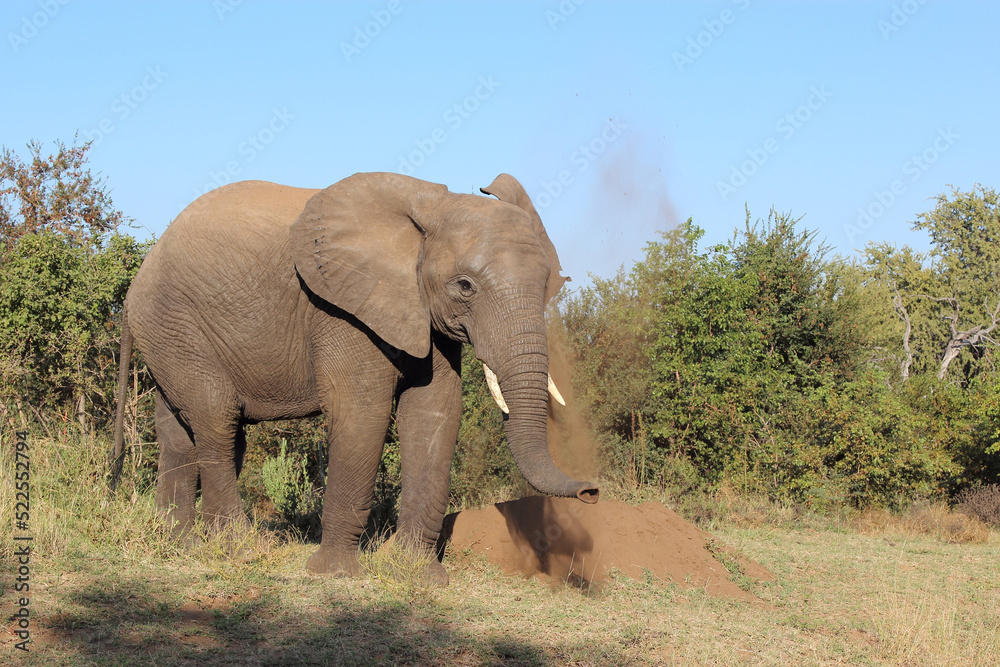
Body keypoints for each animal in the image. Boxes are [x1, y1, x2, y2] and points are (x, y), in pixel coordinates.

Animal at [111, 171, 598, 585]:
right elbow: (362, 410)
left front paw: (417, 576)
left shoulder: (420, 310)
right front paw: (335, 574)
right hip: (175, 321)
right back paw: (238, 549)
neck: (429, 206)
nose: (591, 491)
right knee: (216, 419)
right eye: (465, 286)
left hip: (169, 335)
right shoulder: (343, 308)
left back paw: (180, 545)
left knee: (180, 431)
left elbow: (434, 412)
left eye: (548, 283)